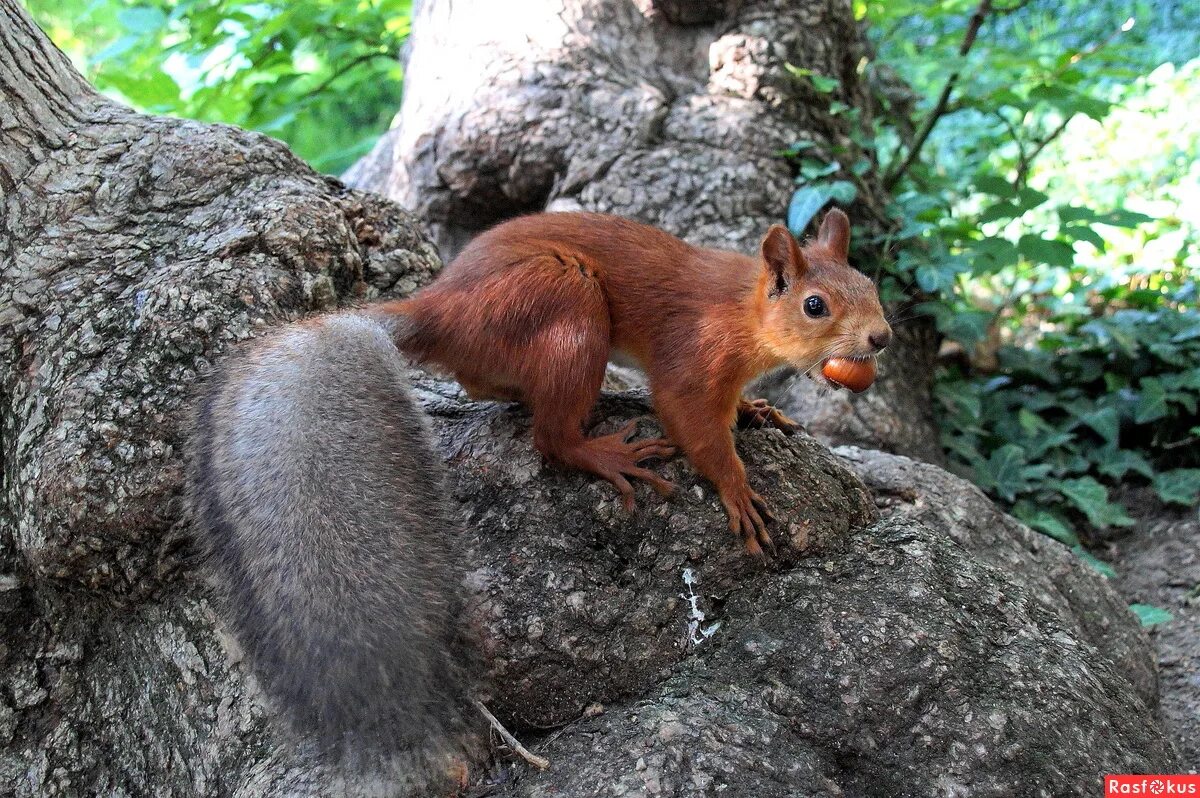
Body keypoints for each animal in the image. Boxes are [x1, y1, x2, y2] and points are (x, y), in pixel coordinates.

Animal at [187, 208, 892, 787]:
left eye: (872, 287)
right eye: (815, 305)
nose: (881, 339)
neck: (745, 308)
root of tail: (439, 309)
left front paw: (756, 409)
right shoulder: (695, 356)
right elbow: (693, 425)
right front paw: (739, 489)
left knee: (485, 387)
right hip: (566, 307)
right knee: (551, 438)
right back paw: (605, 454)